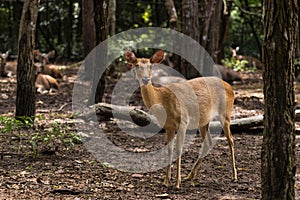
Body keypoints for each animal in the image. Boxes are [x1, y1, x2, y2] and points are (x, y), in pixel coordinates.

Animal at [124, 50, 237, 189]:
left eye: (151, 66)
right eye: (136, 65)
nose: (145, 79)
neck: (163, 100)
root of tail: (230, 87)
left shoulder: (183, 121)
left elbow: (179, 149)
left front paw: (177, 183)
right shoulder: (168, 126)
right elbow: (169, 149)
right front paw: (166, 181)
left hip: (225, 113)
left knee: (230, 140)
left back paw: (234, 176)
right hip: (204, 121)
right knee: (208, 142)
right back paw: (190, 176)